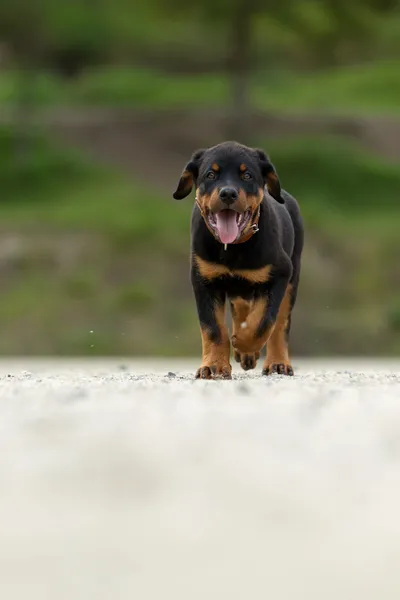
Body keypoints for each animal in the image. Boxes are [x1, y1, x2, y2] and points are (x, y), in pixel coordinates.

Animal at [172, 141, 304, 380]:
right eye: (211, 174)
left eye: (247, 175)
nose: (228, 193)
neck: (232, 247)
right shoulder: (203, 280)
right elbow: (213, 328)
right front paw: (214, 366)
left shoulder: (280, 273)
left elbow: (264, 322)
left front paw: (243, 344)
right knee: (241, 306)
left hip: (292, 278)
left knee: (281, 324)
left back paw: (277, 363)